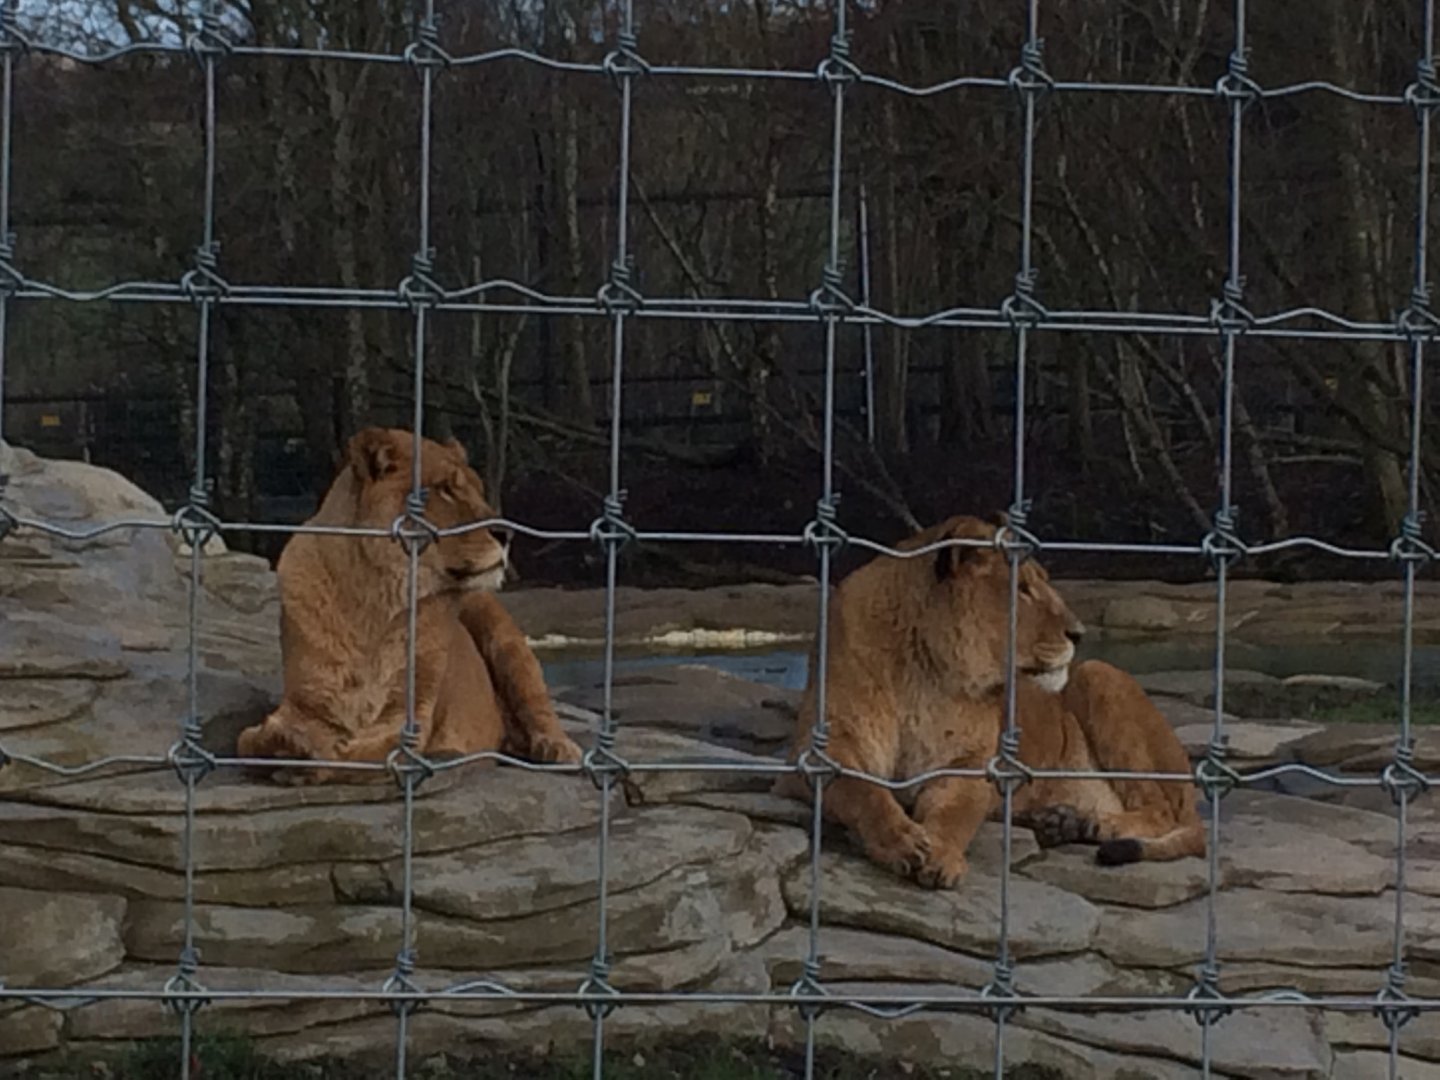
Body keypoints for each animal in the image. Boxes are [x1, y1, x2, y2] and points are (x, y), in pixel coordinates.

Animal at [236, 427, 582, 781]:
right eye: (445, 489)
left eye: (479, 490)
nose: (507, 533)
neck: (374, 602)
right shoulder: (305, 703)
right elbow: (246, 740)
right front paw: (279, 744)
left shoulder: (410, 715)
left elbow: (360, 754)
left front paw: (302, 755)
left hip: (500, 631)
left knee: (537, 702)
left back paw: (556, 749)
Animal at [773, 513, 1204, 888]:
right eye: (1022, 589)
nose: (1079, 633)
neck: (924, 668)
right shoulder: (819, 751)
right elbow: (864, 793)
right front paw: (903, 841)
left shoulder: (970, 763)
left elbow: (954, 815)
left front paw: (940, 854)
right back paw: (1062, 820)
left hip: (1097, 675)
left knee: (1162, 811)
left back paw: (1093, 825)